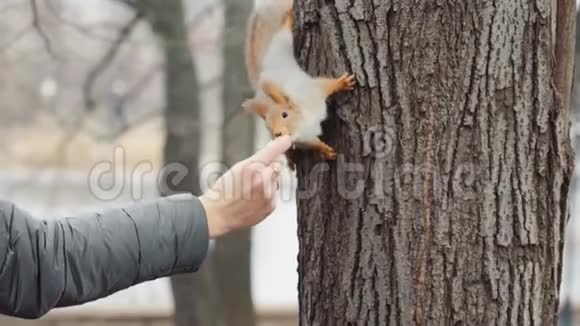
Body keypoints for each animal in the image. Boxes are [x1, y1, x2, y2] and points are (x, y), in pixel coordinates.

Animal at [242, 0, 356, 169]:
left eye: (285, 114)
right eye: (268, 125)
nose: (277, 133)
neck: (302, 125)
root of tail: (265, 69)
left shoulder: (312, 93)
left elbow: (326, 86)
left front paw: (342, 83)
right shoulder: (304, 138)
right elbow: (313, 143)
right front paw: (324, 150)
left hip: (280, 46)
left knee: (282, 34)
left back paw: (288, 19)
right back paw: (290, 158)